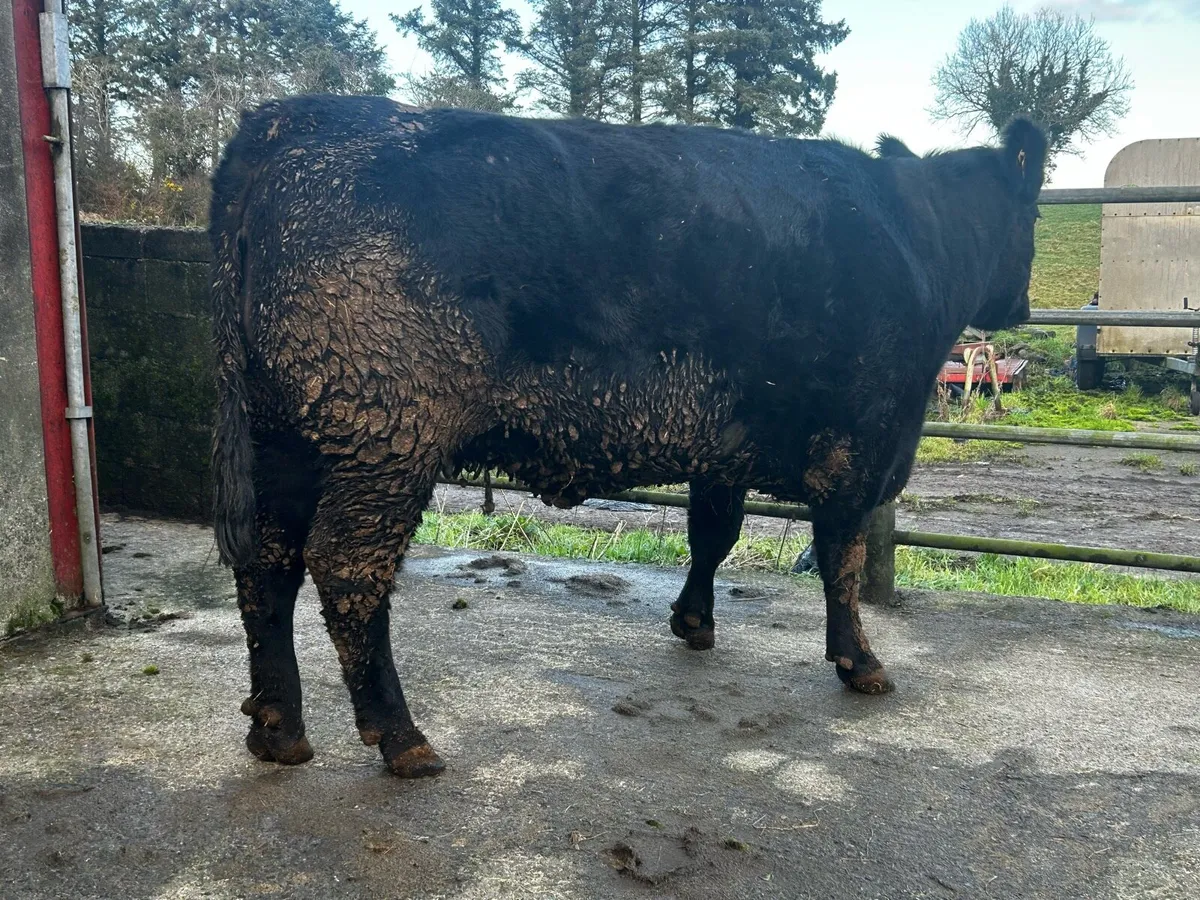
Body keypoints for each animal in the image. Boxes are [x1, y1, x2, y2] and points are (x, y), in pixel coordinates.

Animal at [210, 95, 1046, 777]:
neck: (919, 239)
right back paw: (400, 737)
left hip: (286, 435)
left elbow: (714, 533)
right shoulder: (861, 445)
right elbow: (839, 561)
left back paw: (278, 729)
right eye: (1034, 212)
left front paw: (694, 621)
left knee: (267, 562)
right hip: (387, 435)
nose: (1022, 307)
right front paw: (860, 661)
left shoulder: (722, 446)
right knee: (348, 568)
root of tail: (290, 118)